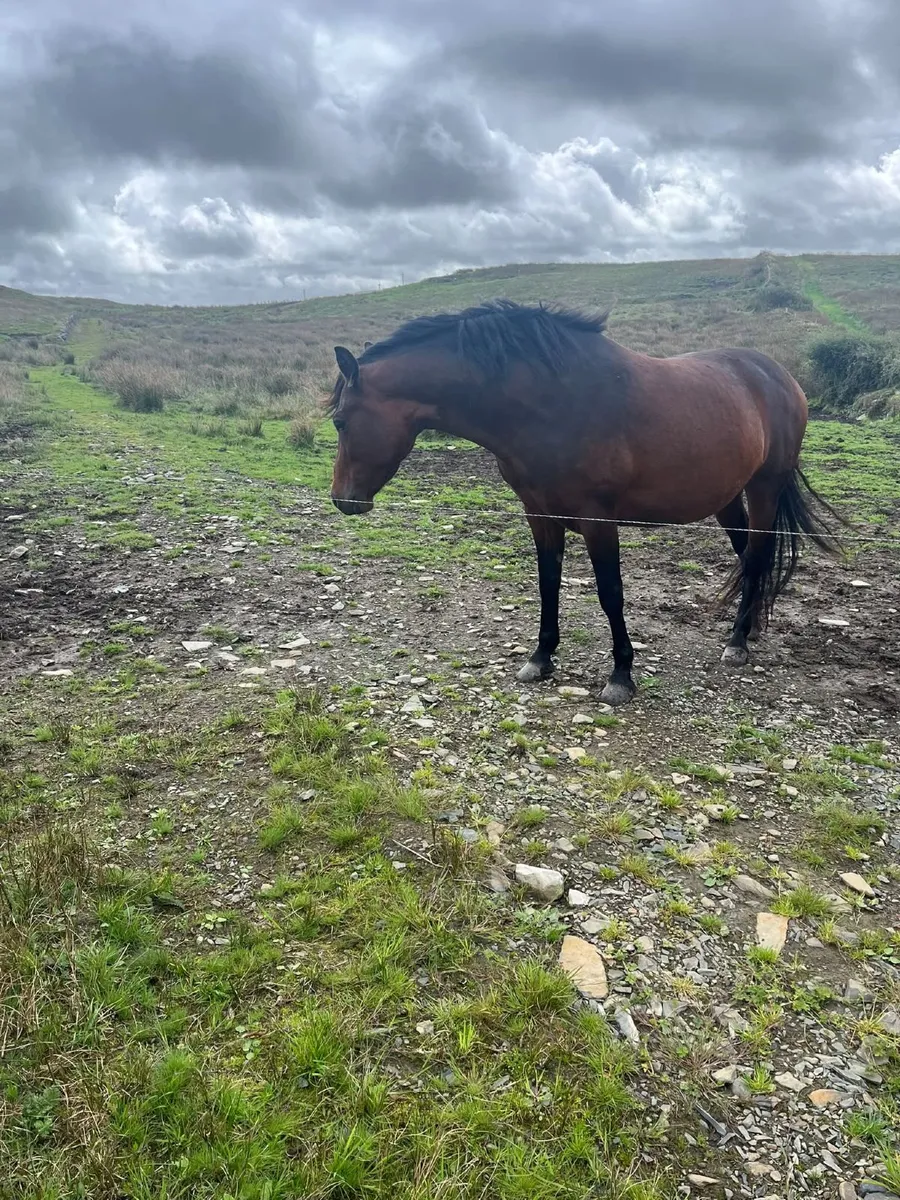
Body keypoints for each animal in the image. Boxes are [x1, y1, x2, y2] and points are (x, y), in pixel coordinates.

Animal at [325, 300, 843, 706]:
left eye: (341, 421)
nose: (343, 500)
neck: (550, 404)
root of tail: (779, 376)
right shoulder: (540, 514)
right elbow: (548, 583)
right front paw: (541, 658)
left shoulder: (597, 519)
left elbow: (610, 592)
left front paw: (621, 676)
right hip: (728, 495)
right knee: (749, 554)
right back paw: (749, 628)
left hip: (764, 487)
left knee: (756, 556)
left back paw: (737, 643)